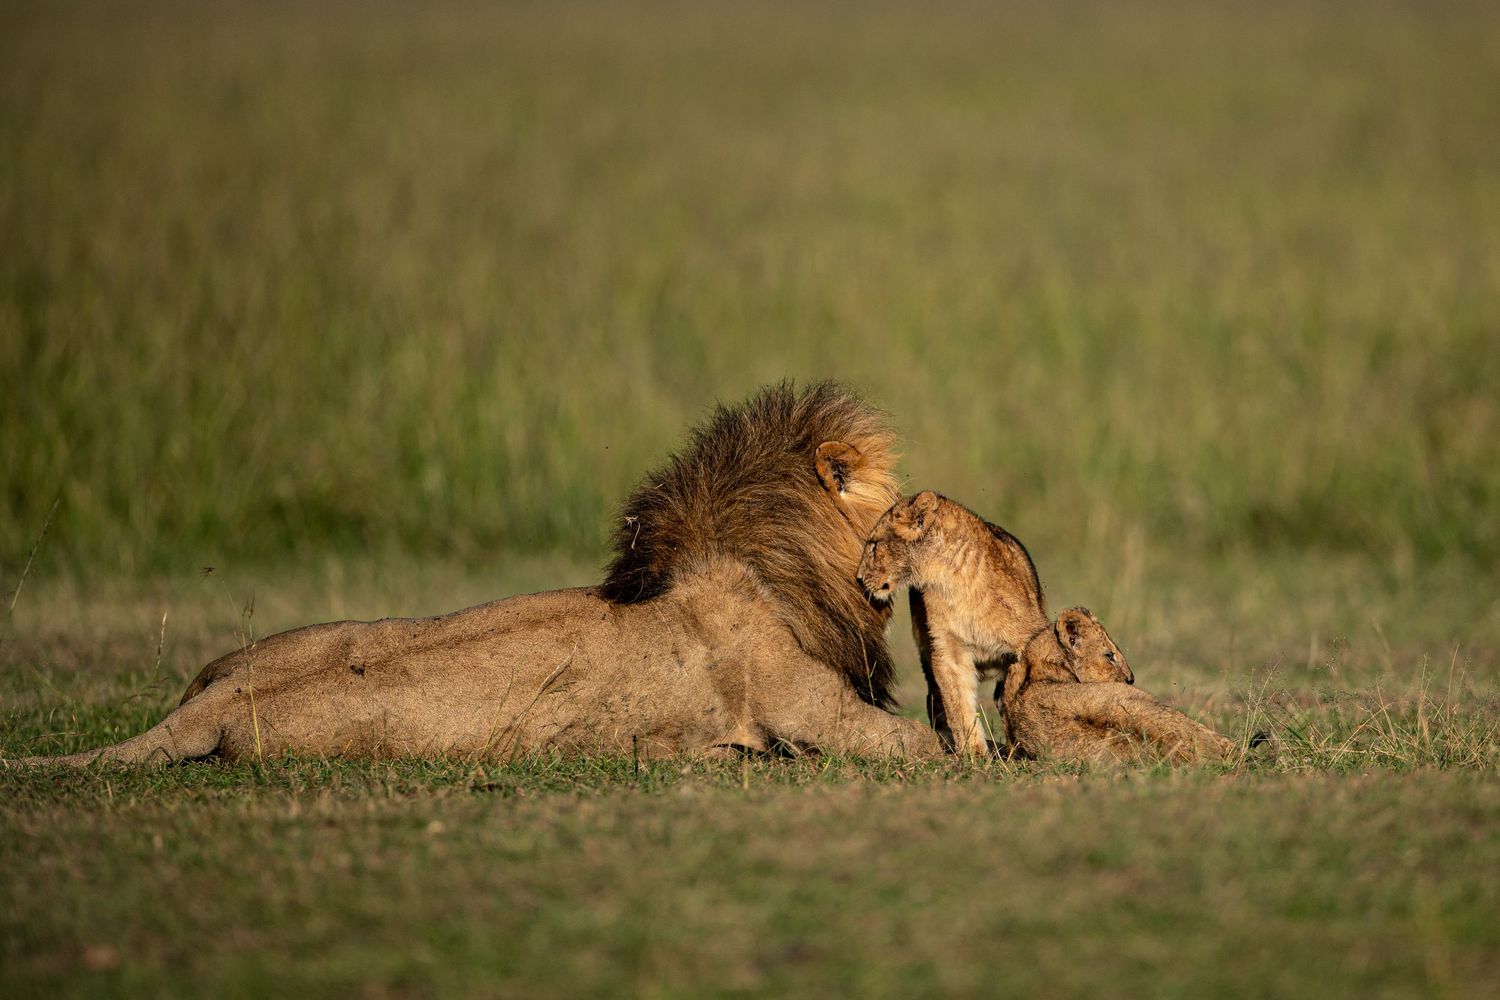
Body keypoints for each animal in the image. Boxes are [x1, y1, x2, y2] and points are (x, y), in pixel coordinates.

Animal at [857, 490, 1052, 755]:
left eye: (874, 544)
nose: (858, 578)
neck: (950, 579)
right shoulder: (949, 650)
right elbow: (959, 704)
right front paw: (973, 753)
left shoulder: (1031, 637)